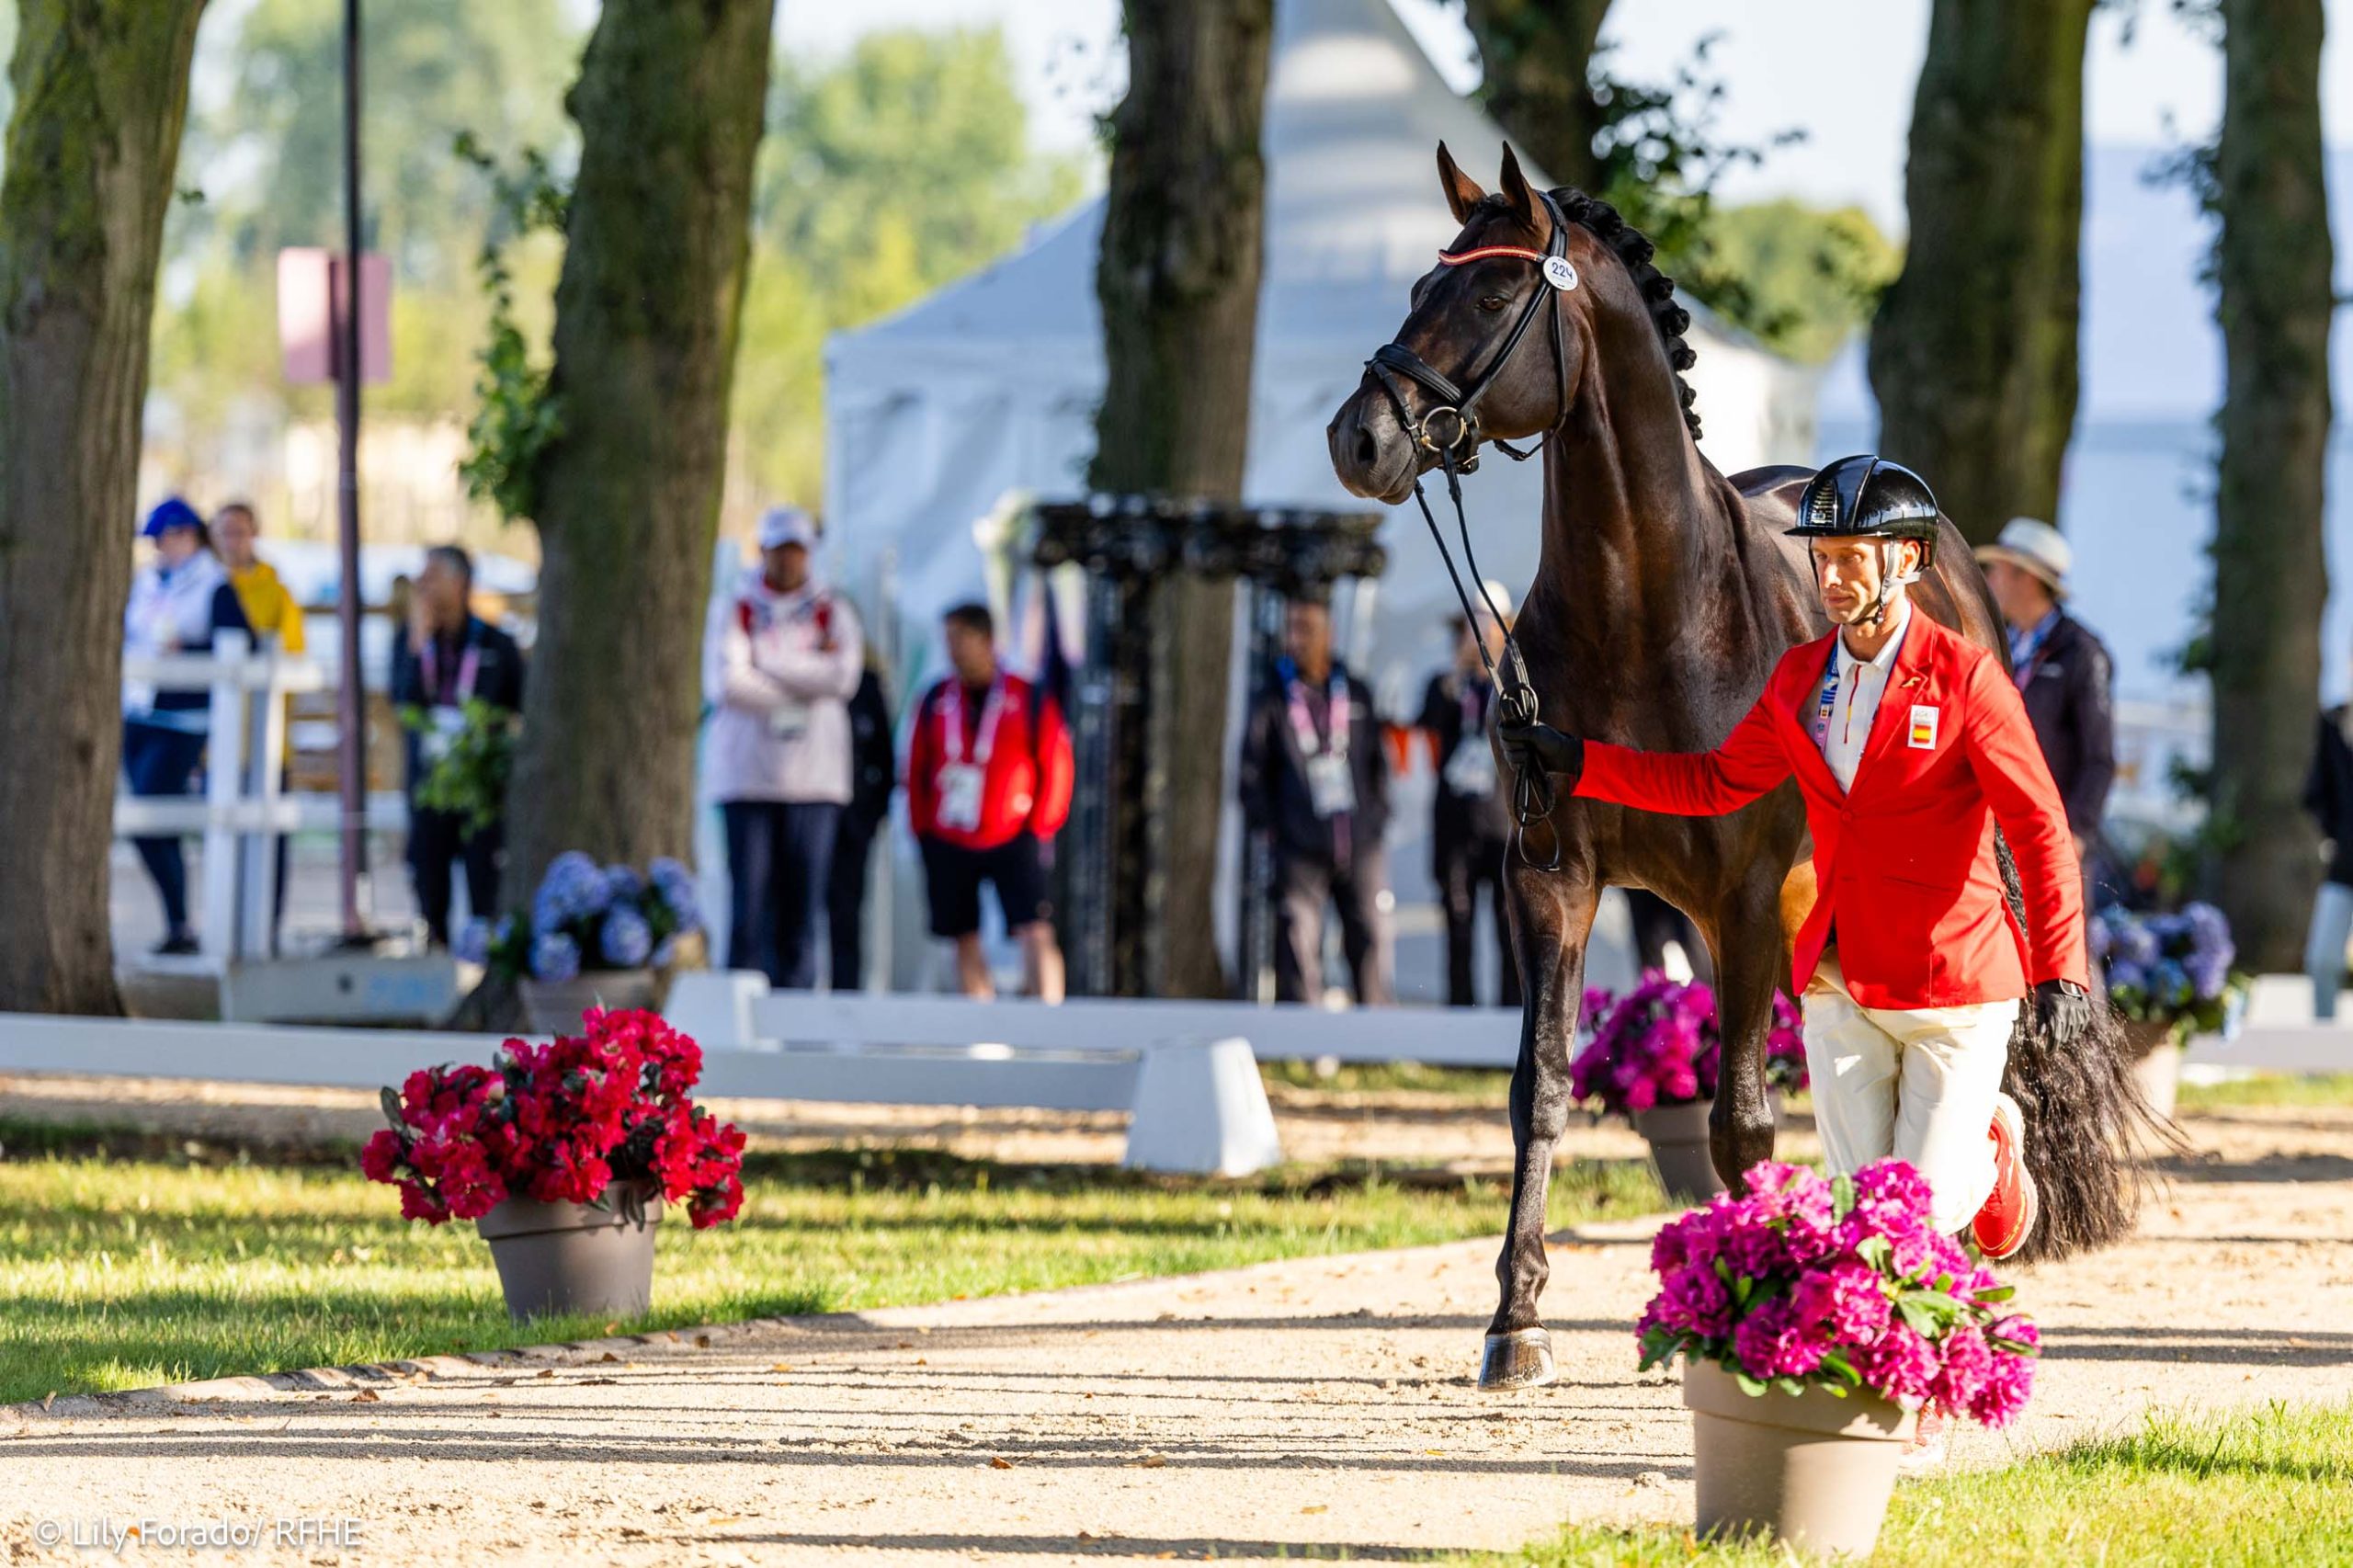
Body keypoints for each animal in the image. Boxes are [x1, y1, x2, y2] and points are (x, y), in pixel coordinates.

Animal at [1326, 146, 2154, 1384]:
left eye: (1488, 292)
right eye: (1421, 285)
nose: (1360, 439)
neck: (1649, 613)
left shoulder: (1745, 903)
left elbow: (1741, 1122)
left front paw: (1763, 1308)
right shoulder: (1550, 881)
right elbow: (1543, 1087)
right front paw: (1516, 1318)